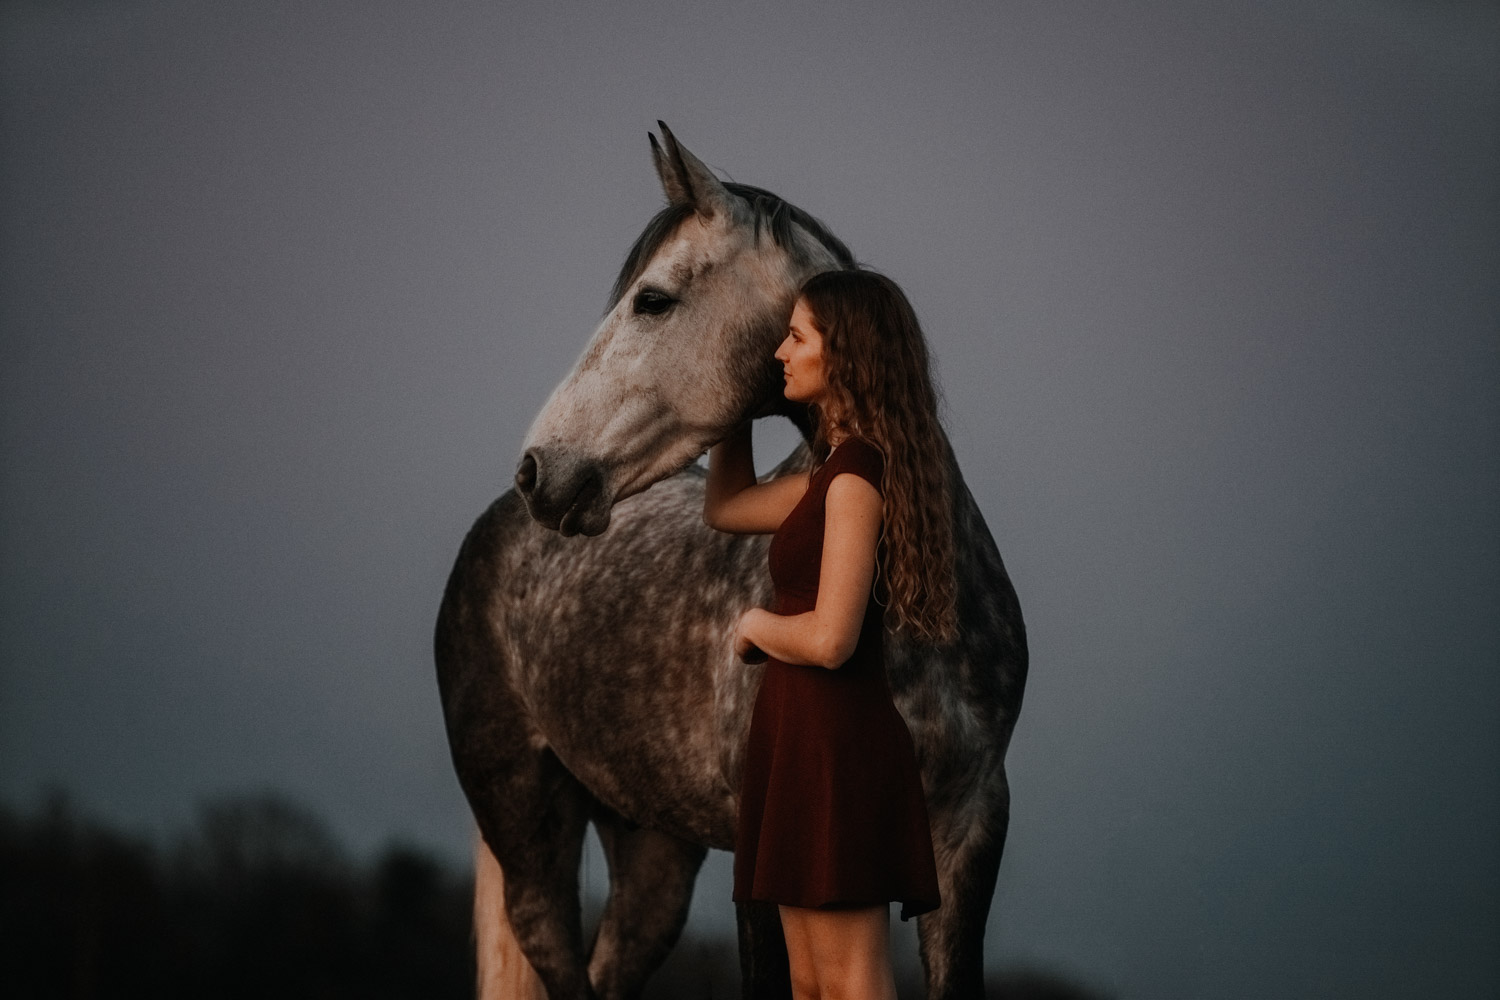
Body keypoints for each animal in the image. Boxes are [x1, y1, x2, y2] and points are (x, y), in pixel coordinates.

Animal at [429, 125, 1026, 1000]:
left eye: (652, 299)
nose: (539, 470)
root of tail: (494, 528)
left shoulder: (967, 836)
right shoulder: (765, 852)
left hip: (653, 847)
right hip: (527, 824)